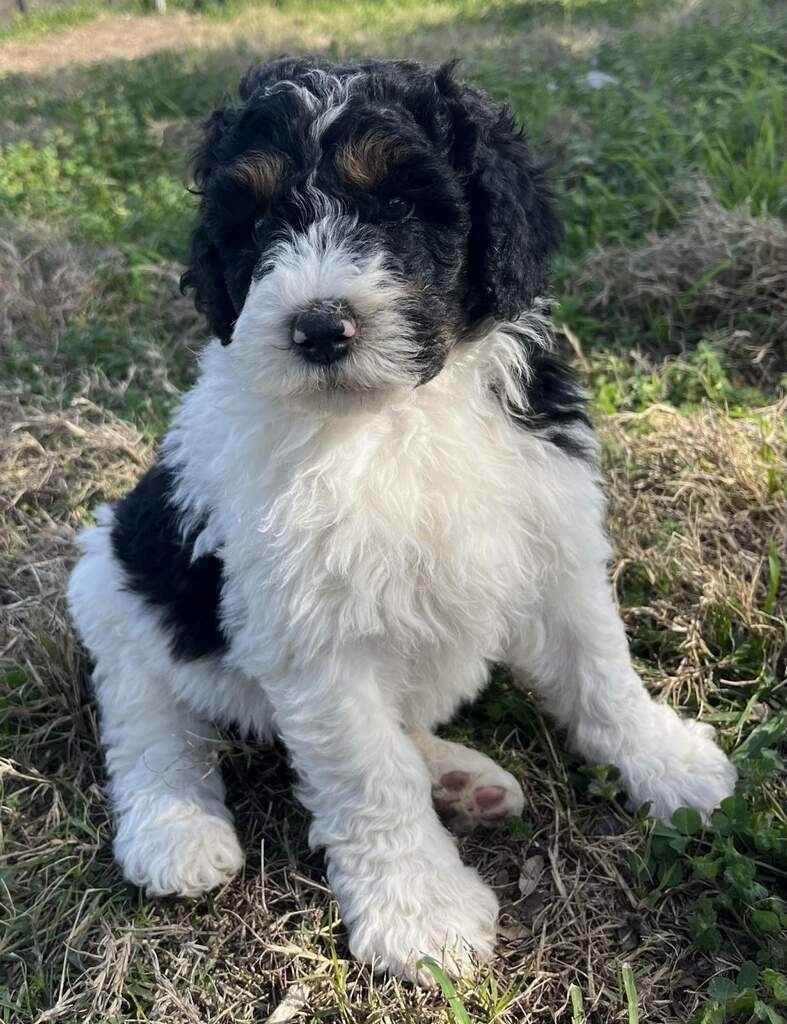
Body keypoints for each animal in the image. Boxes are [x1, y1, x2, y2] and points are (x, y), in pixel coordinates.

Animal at [69, 58, 736, 983]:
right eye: (257, 219)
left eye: (398, 203)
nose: (318, 327)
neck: (391, 418)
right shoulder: (311, 633)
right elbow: (365, 772)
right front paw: (420, 913)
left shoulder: (552, 533)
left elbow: (600, 667)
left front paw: (665, 762)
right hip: (118, 574)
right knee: (147, 717)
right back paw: (175, 828)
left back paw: (459, 778)